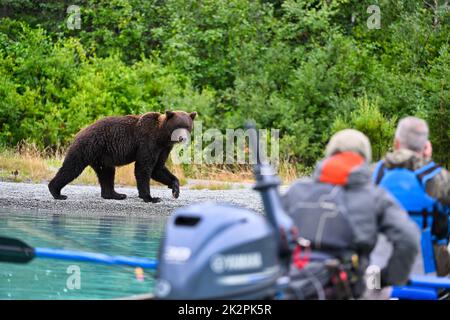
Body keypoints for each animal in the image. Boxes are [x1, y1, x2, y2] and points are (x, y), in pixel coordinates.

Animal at [48, 110, 196, 202]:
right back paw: (57, 192)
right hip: (87, 147)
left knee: (106, 173)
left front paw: (175, 190)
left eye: (187, 126)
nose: (182, 138)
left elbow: (158, 168)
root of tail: (79, 133)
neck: (162, 136)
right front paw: (150, 197)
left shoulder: (164, 148)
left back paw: (116, 194)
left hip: (102, 156)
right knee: (71, 168)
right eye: (178, 125)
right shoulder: (148, 142)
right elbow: (144, 168)